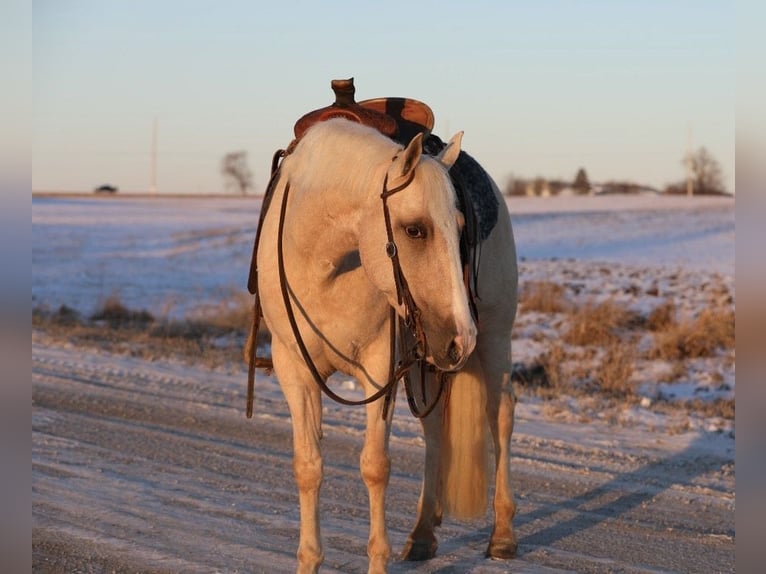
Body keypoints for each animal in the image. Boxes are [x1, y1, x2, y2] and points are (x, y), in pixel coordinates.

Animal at [255, 119, 520, 572]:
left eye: (461, 229)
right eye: (414, 229)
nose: (462, 336)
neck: (323, 263)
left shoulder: (380, 369)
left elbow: (375, 466)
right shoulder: (294, 371)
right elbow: (308, 466)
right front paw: (309, 559)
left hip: (492, 337)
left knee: (499, 414)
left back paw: (502, 534)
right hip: (429, 358)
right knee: (435, 428)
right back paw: (422, 534)